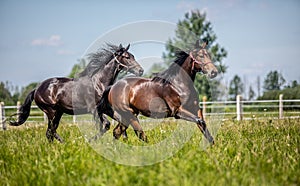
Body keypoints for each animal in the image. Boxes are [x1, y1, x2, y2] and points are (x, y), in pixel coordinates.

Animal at [9, 43, 144, 142]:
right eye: (127, 57)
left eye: (133, 56)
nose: (141, 70)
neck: (99, 83)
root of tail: (37, 89)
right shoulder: (94, 109)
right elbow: (105, 125)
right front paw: (91, 141)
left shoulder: (106, 109)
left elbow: (122, 120)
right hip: (51, 112)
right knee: (50, 132)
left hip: (58, 112)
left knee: (51, 132)